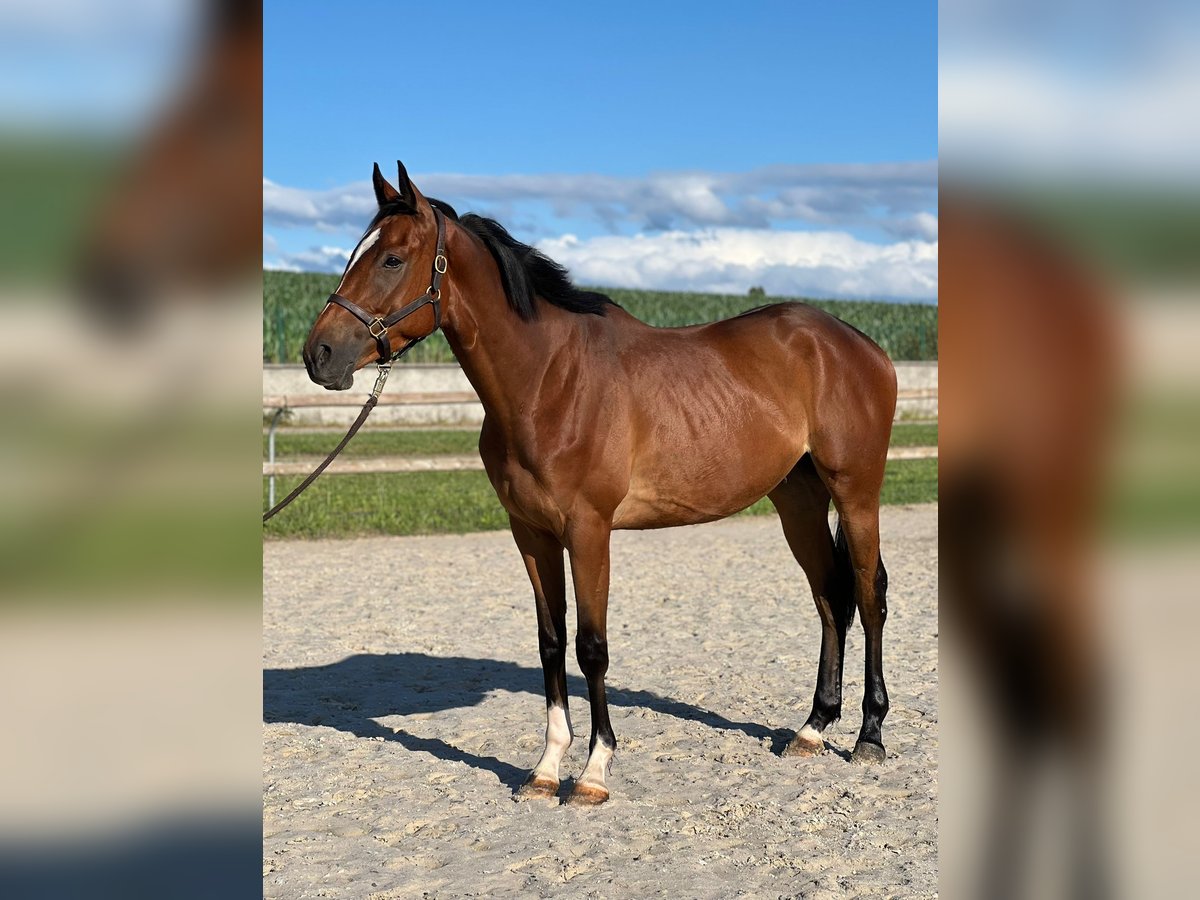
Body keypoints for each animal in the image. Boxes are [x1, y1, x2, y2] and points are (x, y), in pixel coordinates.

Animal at [304, 162, 897, 811]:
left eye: (391, 258)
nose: (319, 354)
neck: (548, 380)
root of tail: (855, 341)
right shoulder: (531, 533)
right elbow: (551, 642)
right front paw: (544, 770)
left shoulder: (589, 530)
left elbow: (592, 646)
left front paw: (593, 772)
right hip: (797, 500)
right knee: (829, 598)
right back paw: (813, 728)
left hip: (856, 493)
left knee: (867, 595)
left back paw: (868, 736)